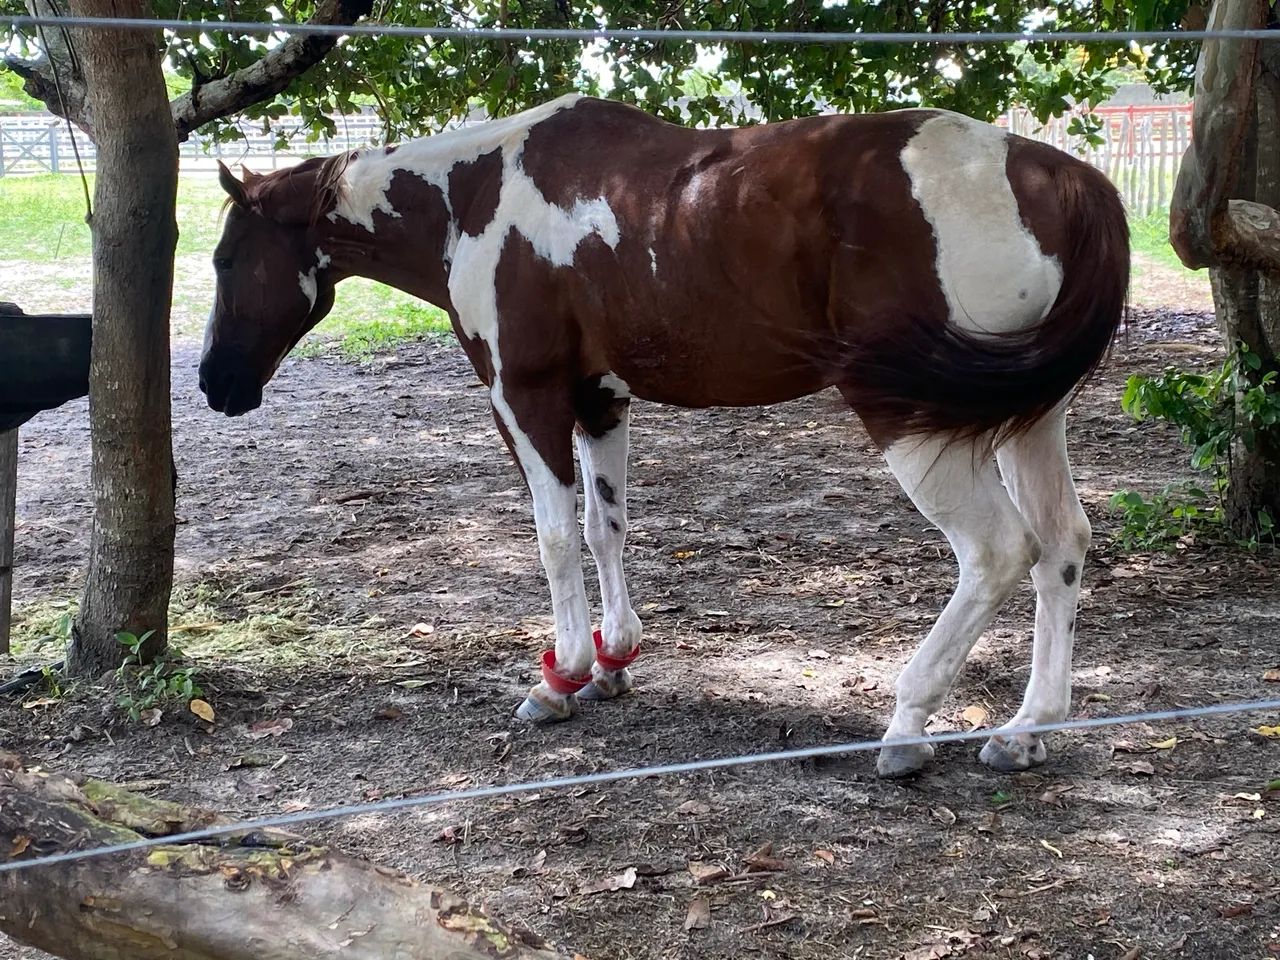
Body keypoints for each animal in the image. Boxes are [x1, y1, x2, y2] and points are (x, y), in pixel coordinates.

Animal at [199, 94, 1128, 779]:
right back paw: (1026, 729)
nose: (215, 384)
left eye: (223, 259)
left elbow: (554, 539)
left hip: (913, 417)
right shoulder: (602, 400)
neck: (475, 197)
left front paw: (562, 678)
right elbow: (605, 528)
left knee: (997, 550)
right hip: (1023, 417)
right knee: (1061, 544)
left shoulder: (524, 398)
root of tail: (1052, 175)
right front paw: (614, 660)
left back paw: (907, 725)